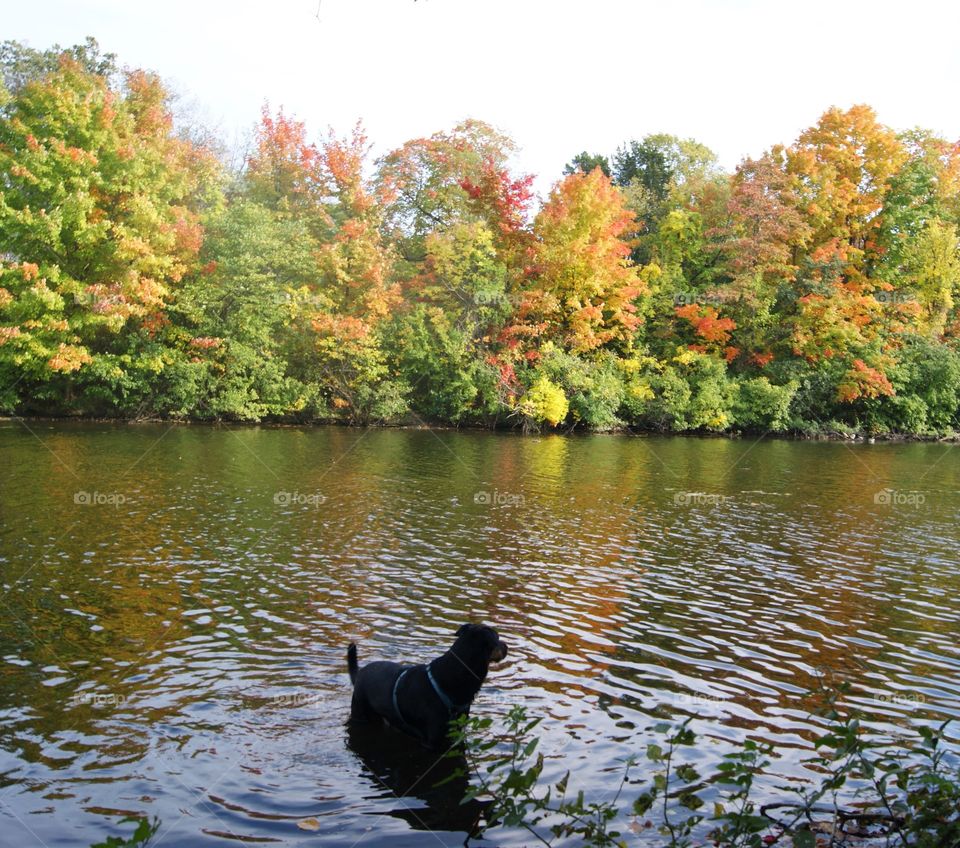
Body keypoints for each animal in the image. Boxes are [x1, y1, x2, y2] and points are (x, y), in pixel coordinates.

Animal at [346, 624, 510, 748]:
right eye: (497, 638)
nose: (507, 646)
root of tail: (359, 673)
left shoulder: (457, 733)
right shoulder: (433, 741)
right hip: (359, 712)